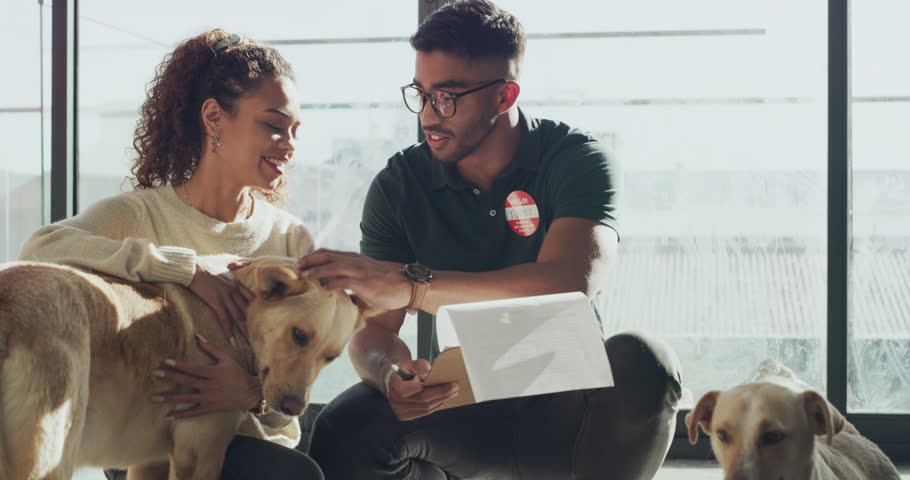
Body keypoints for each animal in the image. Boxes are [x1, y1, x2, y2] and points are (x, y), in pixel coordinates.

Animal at [0, 256, 374, 478]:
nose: (294, 408)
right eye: (299, 335)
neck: (240, 321)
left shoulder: (150, 462)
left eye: (330, 357)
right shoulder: (200, 454)